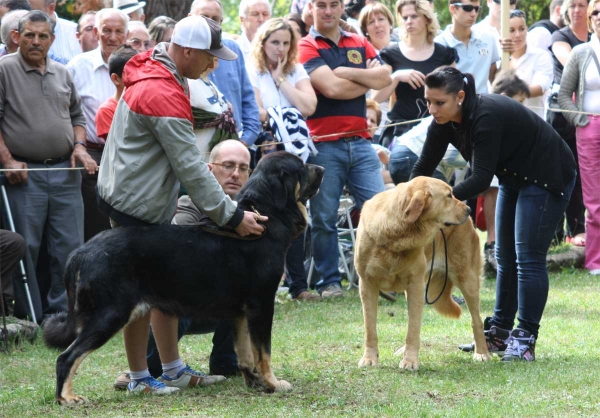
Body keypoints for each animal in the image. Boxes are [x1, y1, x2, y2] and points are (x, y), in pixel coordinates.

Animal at [43, 153, 324, 404]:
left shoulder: (242, 312)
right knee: (66, 357)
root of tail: (79, 253)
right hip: (110, 313)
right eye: (301, 166)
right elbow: (263, 352)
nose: (321, 167)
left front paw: (256, 383)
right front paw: (273, 383)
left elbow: (246, 354)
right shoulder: (261, 304)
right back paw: (66, 398)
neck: (265, 216)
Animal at [356, 176, 488, 370]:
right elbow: (370, 328)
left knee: (476, 320)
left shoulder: (415, 284)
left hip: (467, 279)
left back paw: (482, 353)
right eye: (449, 195)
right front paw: (369, 358)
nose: (469, 209)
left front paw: (410, 361)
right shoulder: (367, 284)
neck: (395, 236)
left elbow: (413, 329)